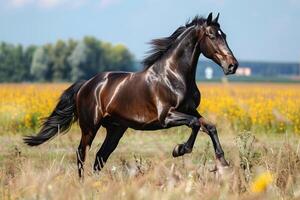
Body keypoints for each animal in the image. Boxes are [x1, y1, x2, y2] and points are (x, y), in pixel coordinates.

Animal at [23, 12, 239, 178]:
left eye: (225, 35)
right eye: (211, 35)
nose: (232, 65)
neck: (173, 75)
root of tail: (86, 84)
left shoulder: (190, 110)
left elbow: (209, 126)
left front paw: (223, 162)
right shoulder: (167, 117)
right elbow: (194, 125)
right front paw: (179, 150)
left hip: (115, 130)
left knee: (100, 157)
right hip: (90, 127)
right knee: (81, 153)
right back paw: (83, 184)